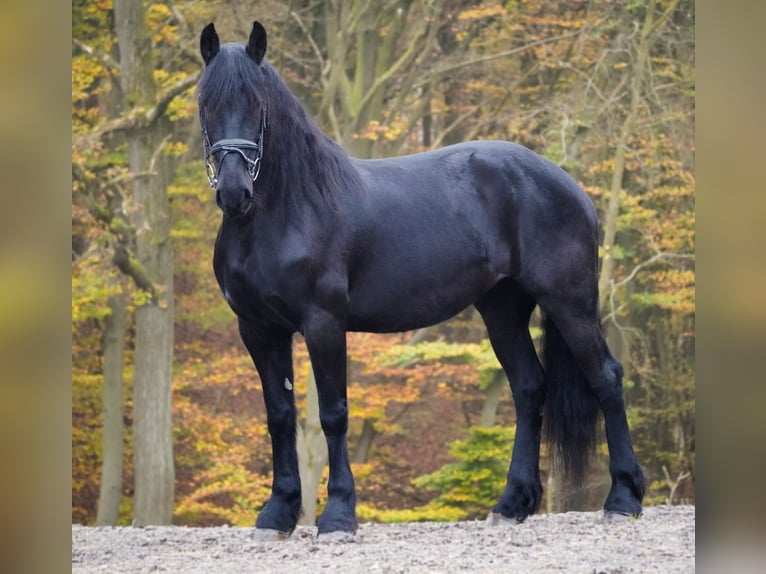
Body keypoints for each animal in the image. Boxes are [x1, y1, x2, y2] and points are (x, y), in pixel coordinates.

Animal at [195, 19, 644, 540]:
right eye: (206, 103)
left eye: (257, 104)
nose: (234, 192)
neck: (288, 210)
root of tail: (568, 185)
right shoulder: (259, 329)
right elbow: (279, 416)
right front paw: (277, 514)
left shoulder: (323, 322)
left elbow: (333, 414)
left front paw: (339, 515)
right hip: (503, 308)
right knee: (529, 387)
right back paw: (511, 503)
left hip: (569, 302)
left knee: (606, 378)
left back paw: (623, 499)